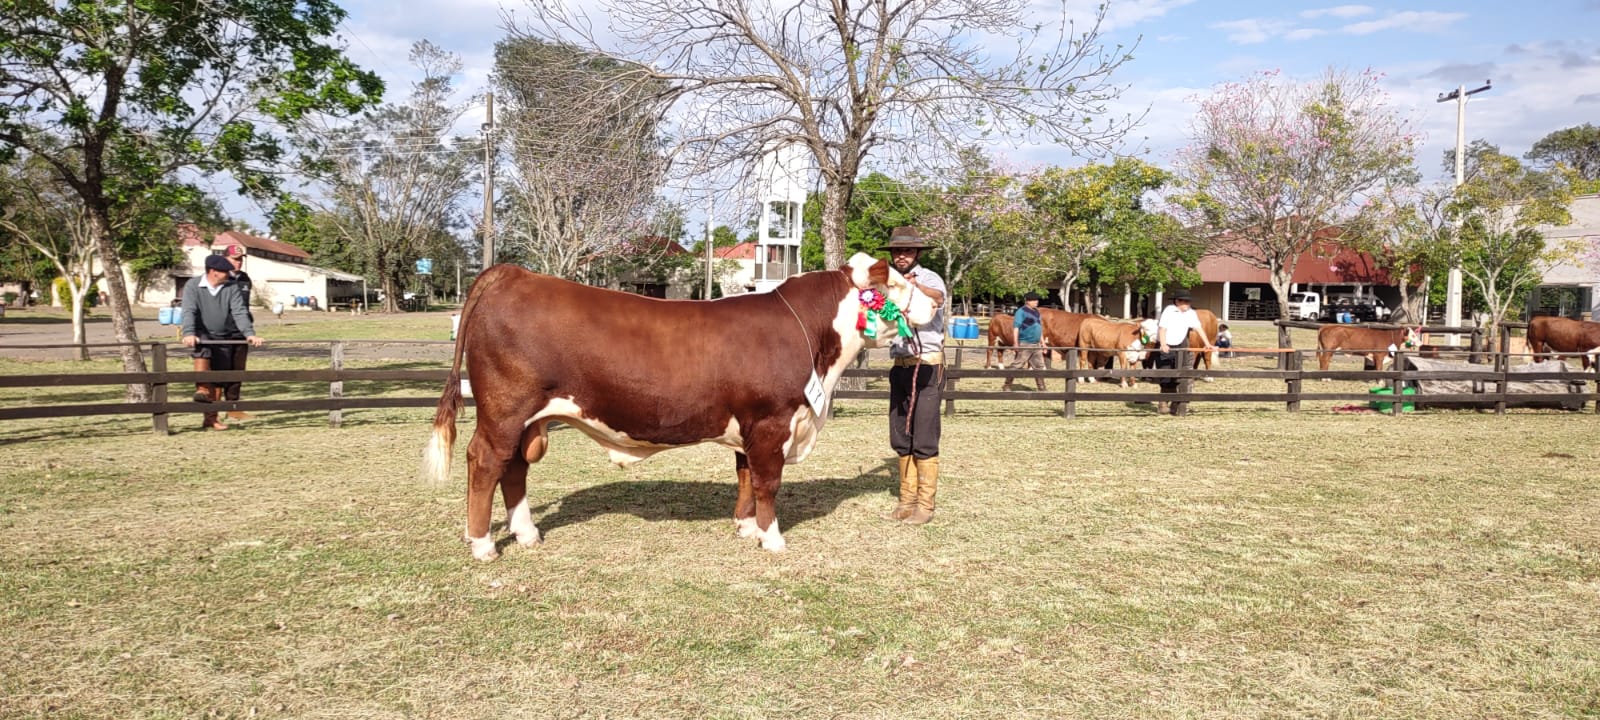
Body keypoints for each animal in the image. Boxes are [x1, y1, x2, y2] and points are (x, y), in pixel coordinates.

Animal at [422, 253, 937, 561]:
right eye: (894, 284)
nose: (936, 301)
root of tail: (511, 272)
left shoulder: (749, 425)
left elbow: (745, 477)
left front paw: (745, 527)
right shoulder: (773, 421)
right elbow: (768, 483)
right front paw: (773, 539)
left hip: (531, 418)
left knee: (514, 469)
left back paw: (526, 533)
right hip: (504, 410)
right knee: (485, 462)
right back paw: (483, 544)